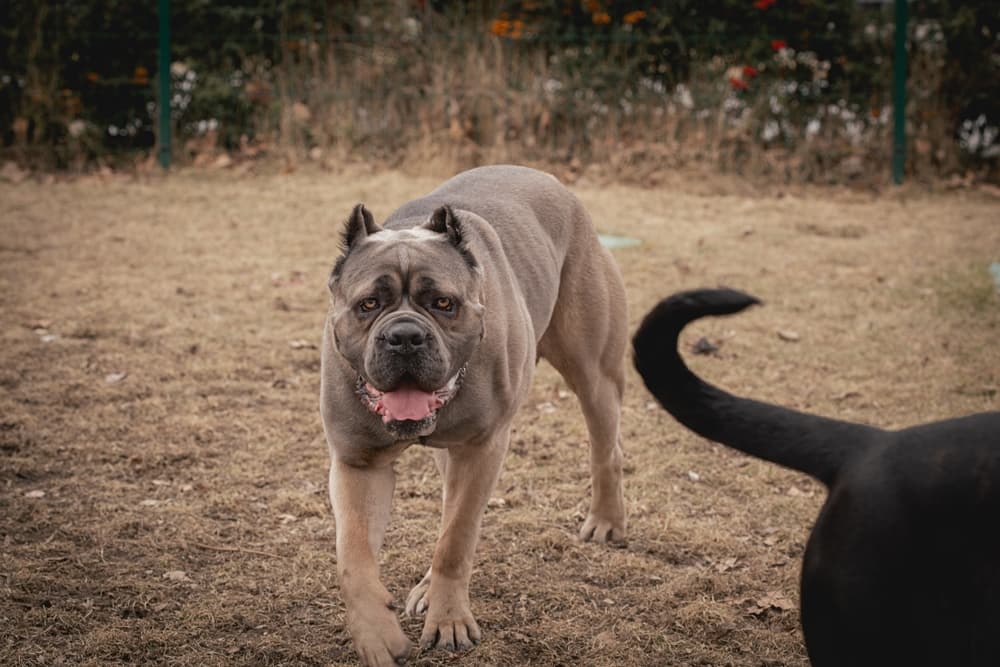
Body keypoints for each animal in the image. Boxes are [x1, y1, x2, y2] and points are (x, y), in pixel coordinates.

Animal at [322, 164, 624, 664]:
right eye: (368, 305)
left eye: (444, 304)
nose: (405, 337)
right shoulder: (357, 464)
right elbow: (353, 557)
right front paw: (375, 632)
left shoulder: (483, 448)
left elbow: (456, 540)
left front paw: (448, 620)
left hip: (593, 373)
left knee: (606, 448)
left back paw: (606, 519)